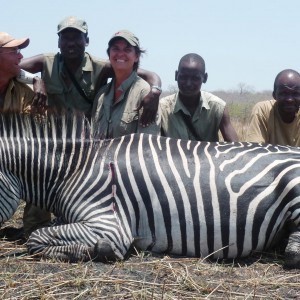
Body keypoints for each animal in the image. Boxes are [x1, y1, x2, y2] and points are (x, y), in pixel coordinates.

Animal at [0, 113, 300, 268]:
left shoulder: (110, 223)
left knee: (294, 254)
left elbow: (35, 239)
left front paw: (101, 249)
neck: (75, 169)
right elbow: (41, 234)